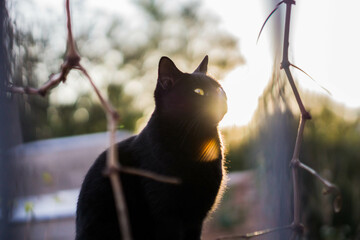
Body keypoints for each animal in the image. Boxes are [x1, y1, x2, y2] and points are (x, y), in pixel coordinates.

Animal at [76, 56, 228, 240]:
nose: (221, 99)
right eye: (198, 92)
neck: (198, 144)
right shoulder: (166, 214)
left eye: (219, 89)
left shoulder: (196, 218)